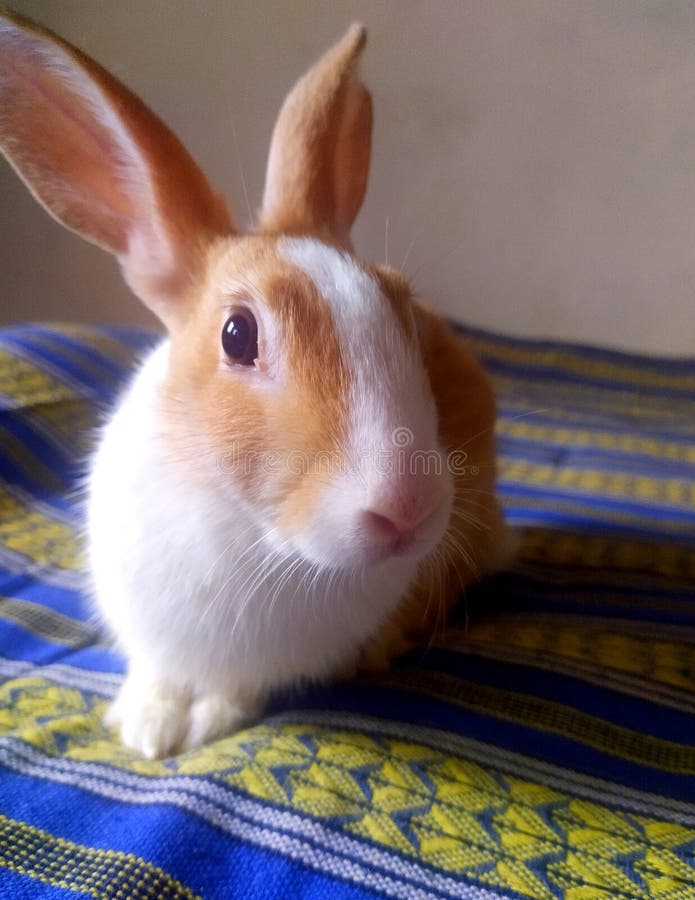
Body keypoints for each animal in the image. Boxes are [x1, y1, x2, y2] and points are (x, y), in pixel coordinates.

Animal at [0, 10, 512, 758]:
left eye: (404, 309)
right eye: (237, 335)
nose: (408, 509)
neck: (256, 536)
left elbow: (235, 691)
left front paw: (198, 724)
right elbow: (157, 674)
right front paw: (144, 727)